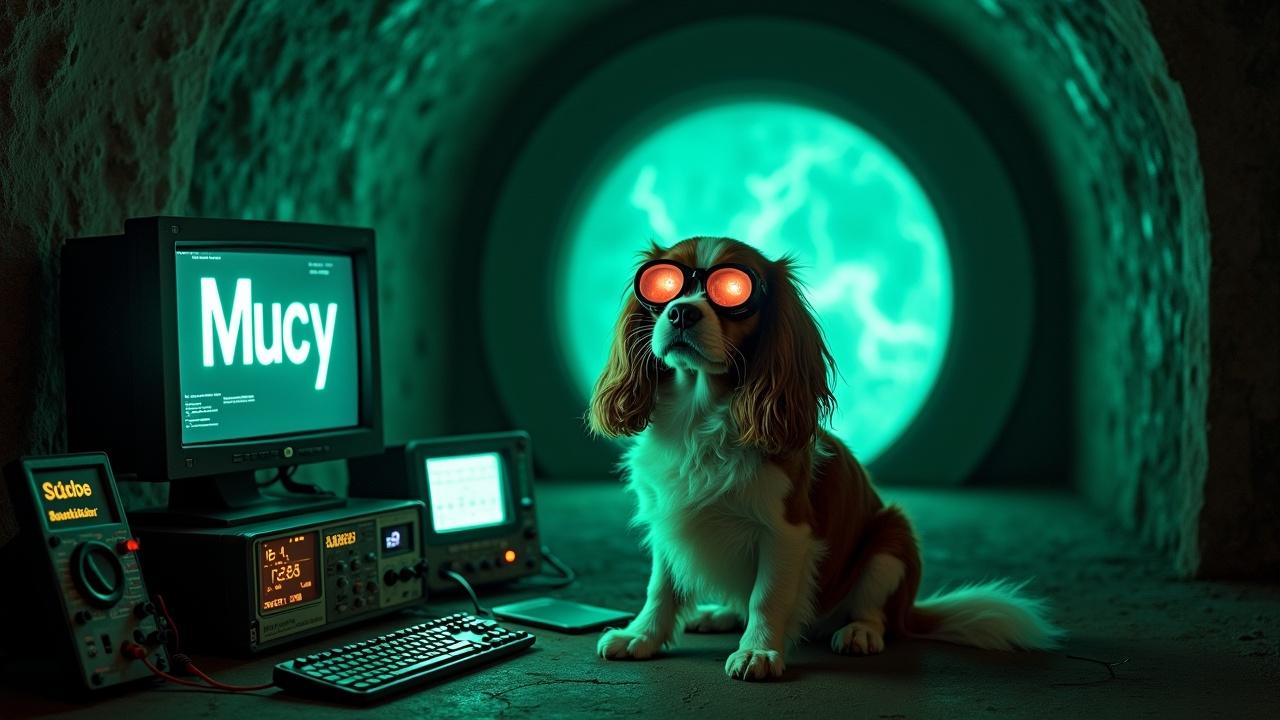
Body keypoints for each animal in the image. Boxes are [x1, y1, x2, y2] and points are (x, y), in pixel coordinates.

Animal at [586, 235, 1059, 676]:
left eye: (734, 290)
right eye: (663, 284)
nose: (682, 311)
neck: (698, 415)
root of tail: (911, 612)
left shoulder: (786, 532)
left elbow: (766, 597)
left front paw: (758, 651)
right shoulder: (669, 518)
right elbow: (661, 589)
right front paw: (641, 637)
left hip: (891, 539)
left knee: (875, 613)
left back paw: (858, 632)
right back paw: (720, 614)